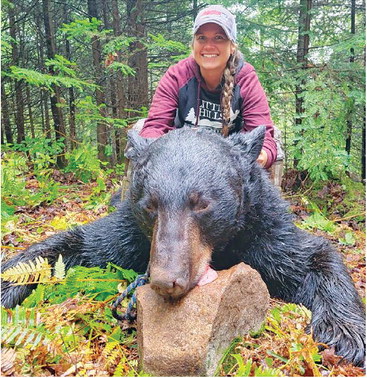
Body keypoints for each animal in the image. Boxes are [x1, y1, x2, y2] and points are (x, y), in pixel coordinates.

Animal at [1, 127, 366, 366]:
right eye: (151, 205)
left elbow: (314, 256)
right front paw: (9, 282)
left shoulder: (264, 231)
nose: (166, 280)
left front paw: (346, 334)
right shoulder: (130, 233)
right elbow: (76, 243)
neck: (223, 247)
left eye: (202, 203)